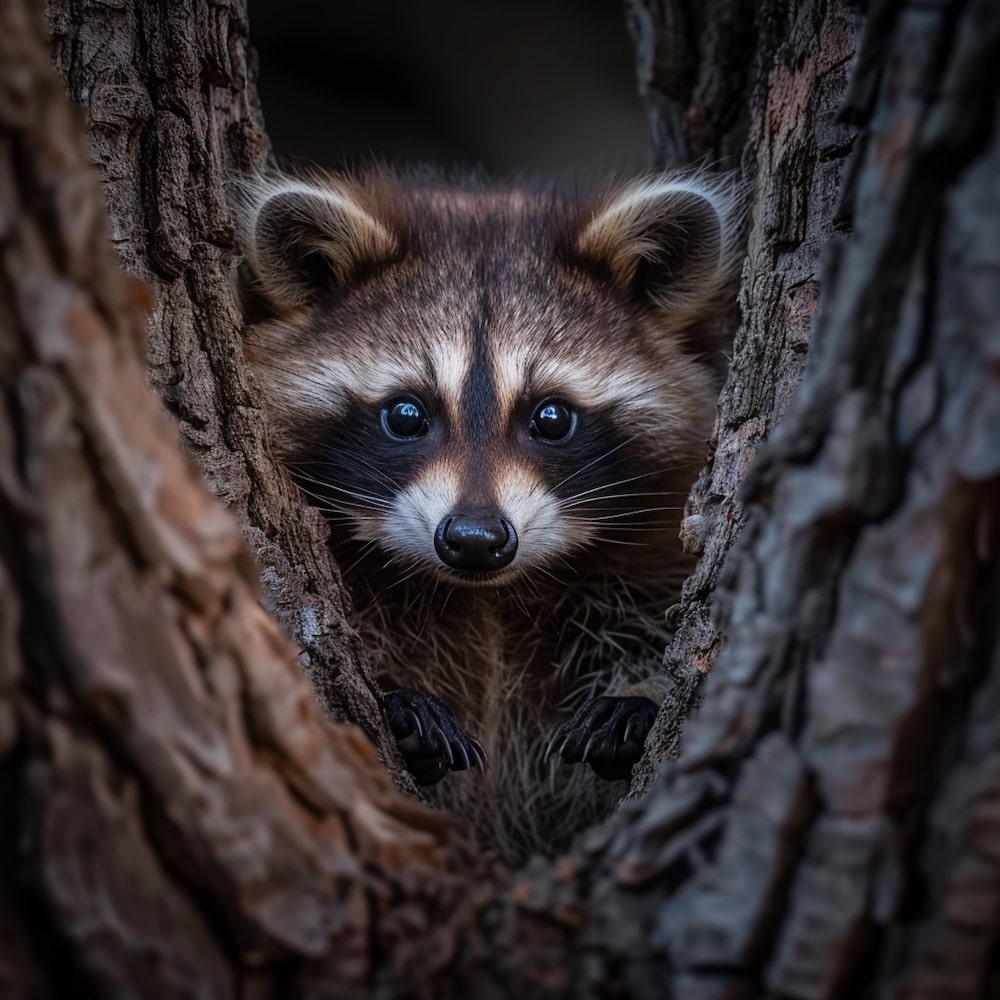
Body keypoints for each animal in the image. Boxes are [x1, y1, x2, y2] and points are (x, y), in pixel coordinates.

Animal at [234, 168, 741, 865]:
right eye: (406, 414)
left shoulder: (657, 536)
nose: (475, 540)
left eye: (551, 416)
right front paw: (398, 704)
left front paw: (640, 699)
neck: (487, 597)